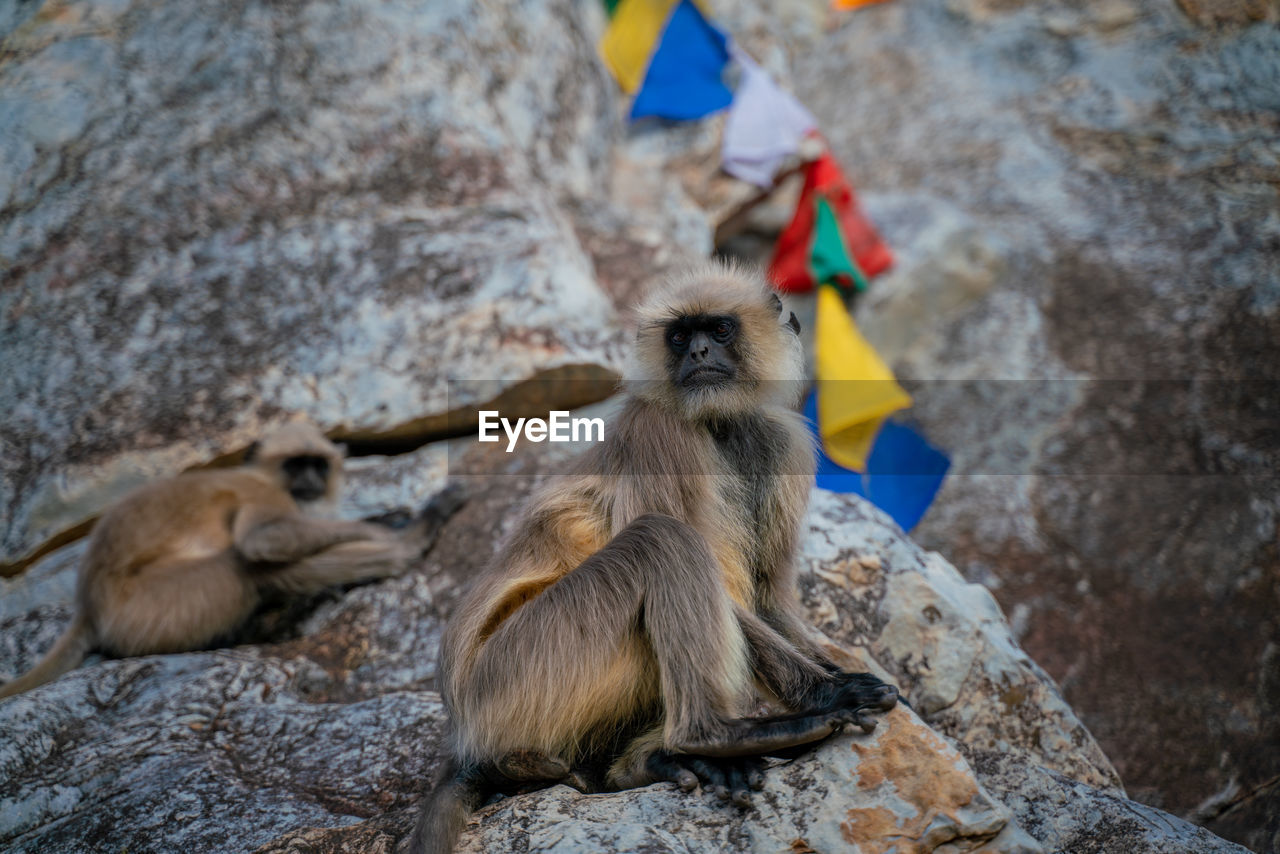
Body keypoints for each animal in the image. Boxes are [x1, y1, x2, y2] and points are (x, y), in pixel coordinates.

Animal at [0, 419, 460, 701]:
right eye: (296, 465)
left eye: (318, 465)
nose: (311, 480)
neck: (263, 476)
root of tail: (89, 605)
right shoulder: (266, 496)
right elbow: (262, 541)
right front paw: (390, 530)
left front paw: (382, 518)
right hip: (153, 604)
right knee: (247, 567)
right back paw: (412, 541)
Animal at [407, 262, 901, 854]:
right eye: (681, 336)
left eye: (719, 329)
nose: (700, 353)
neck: (718, 425)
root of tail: (462, 728)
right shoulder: (658, 428)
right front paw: (829, 693)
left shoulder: (782, 440)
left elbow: (768, 599)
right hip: (520, 668)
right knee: (660, 539)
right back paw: (713, 737)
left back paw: (651, 762)